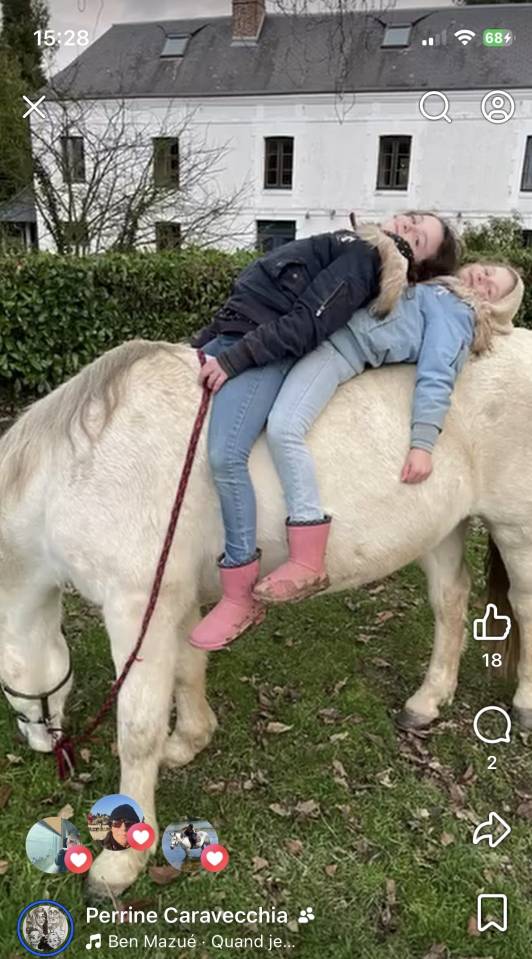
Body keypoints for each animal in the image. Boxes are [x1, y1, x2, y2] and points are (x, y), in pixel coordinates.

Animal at [0, 331, 529, 897]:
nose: (38, 743)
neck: (84, 472)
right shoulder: (176, 602)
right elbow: (188, 669)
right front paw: (188, 741)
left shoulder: (136, 608)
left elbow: (138, 729)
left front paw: (122, 862)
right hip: (442, 527)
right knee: (450, 601)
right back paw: (427, 701)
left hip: (516, 529)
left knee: (522, 605)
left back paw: (523, 703)